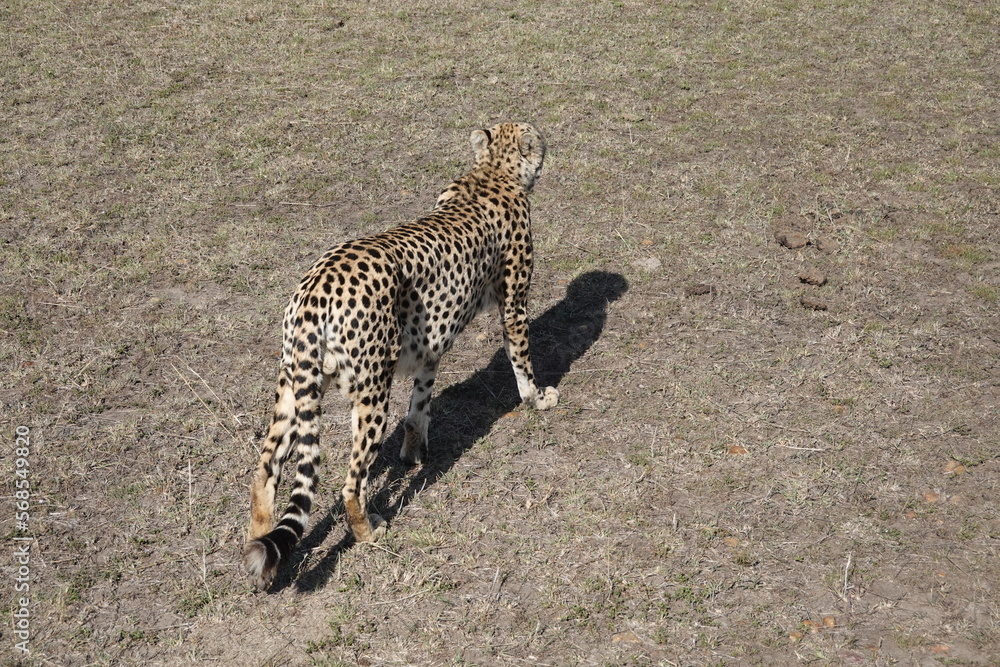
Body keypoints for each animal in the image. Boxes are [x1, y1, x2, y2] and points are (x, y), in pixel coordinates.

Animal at [244, 122, 558, 591]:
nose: (547, 142)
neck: (492, 171)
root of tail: (316, 284)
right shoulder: (514, 305)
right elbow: (522, 360)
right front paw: (539, 399)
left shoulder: (429, 342)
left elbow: (419, 405)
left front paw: (414, 451)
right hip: (372, 387)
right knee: (350, 482)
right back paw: (368, 532)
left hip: (294, 384)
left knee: (265, 470)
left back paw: (261, 559)